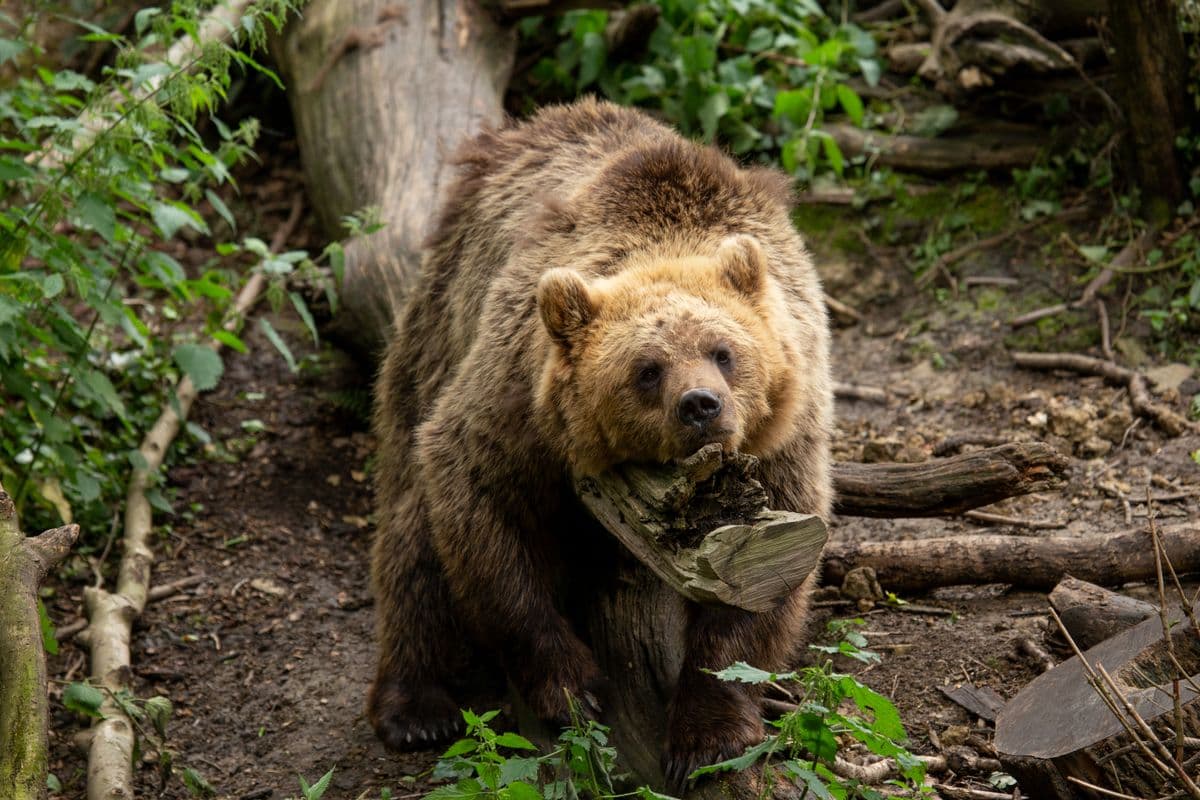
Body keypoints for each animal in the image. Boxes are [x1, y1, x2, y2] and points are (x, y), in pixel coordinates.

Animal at [368, 98, 833, 792]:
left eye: (724, 352)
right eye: (648, 369)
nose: (701, 406)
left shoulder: (784, 439)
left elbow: (765, 579)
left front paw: (710, 733)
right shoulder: (515, 402)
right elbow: (483, 514)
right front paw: (572, 687)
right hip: (434, 333)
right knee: (411, 533)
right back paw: (416, 707)